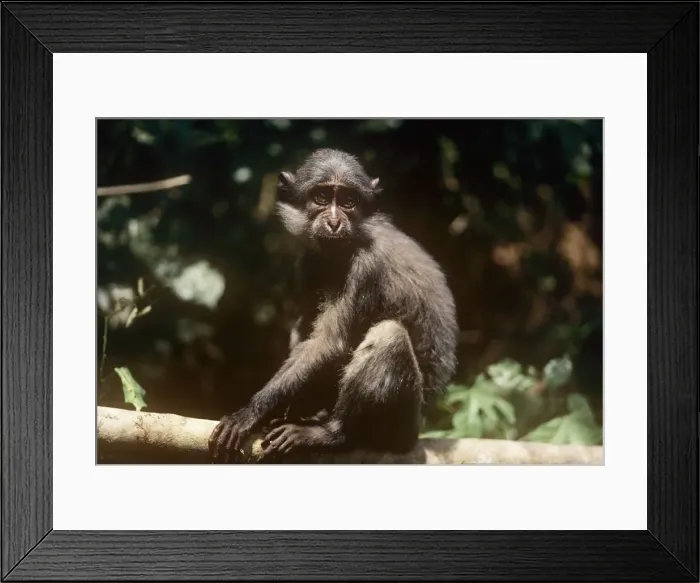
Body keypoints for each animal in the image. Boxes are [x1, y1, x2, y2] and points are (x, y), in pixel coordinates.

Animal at [208, 148, 459, 462]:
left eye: (349, 201)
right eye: (321, 197)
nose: (334, 221)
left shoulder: (368, 265)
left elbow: (329, 343)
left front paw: (249, 414)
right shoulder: (307, 260)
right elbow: (305, 336)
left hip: (401, 431)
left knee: (388, 335)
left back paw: (332, 433)